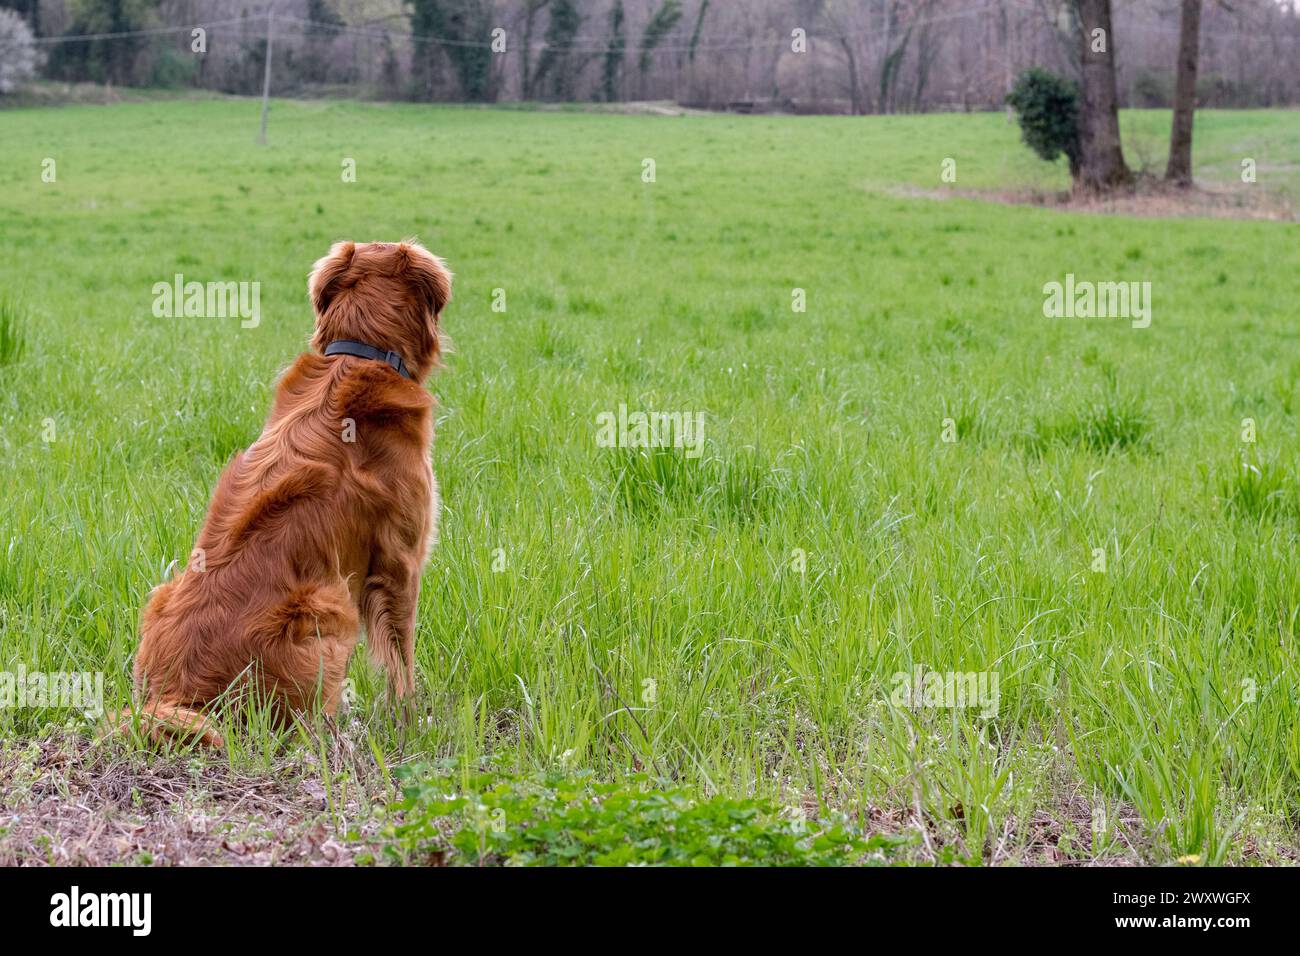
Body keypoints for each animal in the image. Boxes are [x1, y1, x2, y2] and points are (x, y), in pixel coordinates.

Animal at [128, 239, 452, 749]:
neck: (362, 352)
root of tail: (177, 696)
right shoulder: (400, 563)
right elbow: (402, 659)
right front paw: (412, 719)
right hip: (331, 607)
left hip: (163, 591)